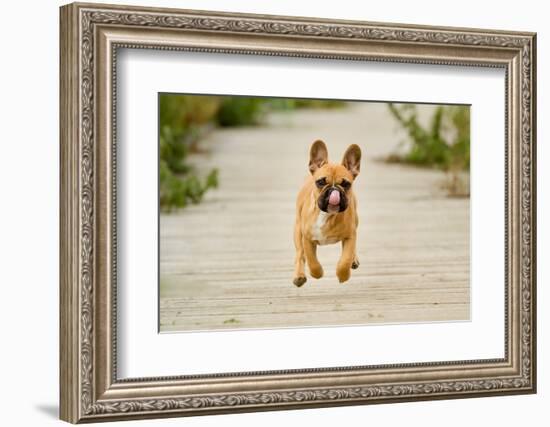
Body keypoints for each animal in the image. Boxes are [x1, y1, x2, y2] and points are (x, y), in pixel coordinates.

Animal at [294, 140, 362, 288]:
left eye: (346, 184)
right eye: (321, 182)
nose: (333, 190)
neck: (326, 215)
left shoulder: (350, 236)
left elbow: (345, 259)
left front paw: (343, 275)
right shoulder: (307, 238)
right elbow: (311, 260)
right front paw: (317, 273)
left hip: (356, 221)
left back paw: (354, 260)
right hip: (297, 231)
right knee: (300, 254)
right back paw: (299, 276)